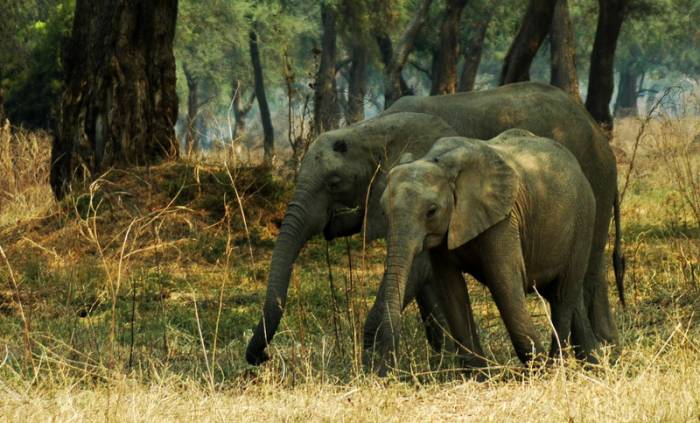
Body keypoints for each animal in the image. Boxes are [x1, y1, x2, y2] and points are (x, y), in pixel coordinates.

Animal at [373, 131, 600, 369]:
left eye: (431, 211)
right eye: (383, 211)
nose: (384, 369)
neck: (439, 161)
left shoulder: (503, 218)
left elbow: (504, 283)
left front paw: (538, 369)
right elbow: (451, 290)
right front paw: (478, 373)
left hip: (584, 220)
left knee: (562, 295)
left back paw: (558, 367)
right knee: (570, 297)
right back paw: (593, 364)